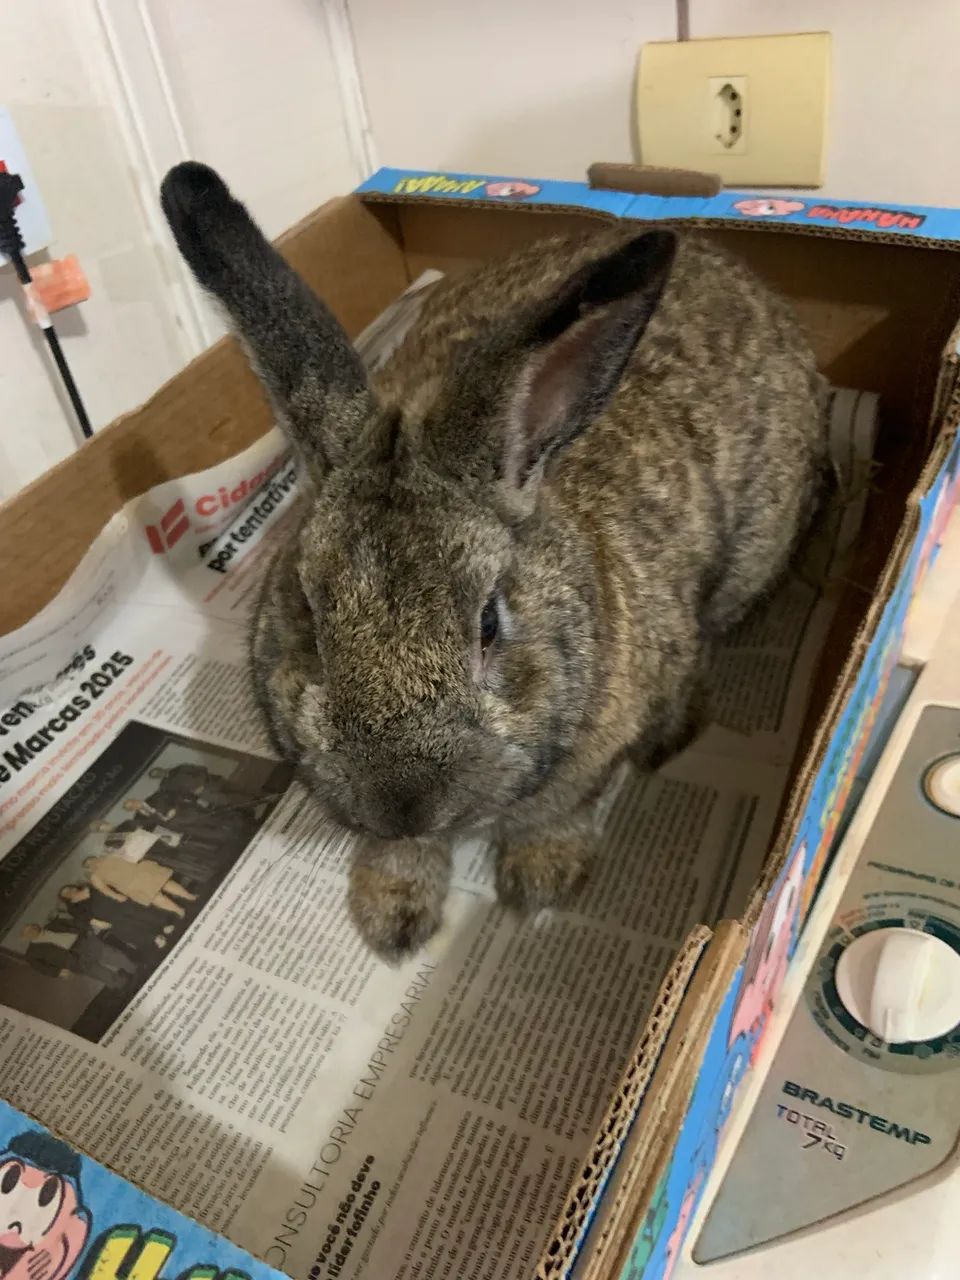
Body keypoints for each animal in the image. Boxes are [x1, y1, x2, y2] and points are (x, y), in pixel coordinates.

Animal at [160, 162, 827, 962]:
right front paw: (392, 915)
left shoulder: (592, 754)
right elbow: (403, 856)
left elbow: (558, 812)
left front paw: (539, 881)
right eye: (309, 620)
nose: (402, 800)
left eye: (488, 625)